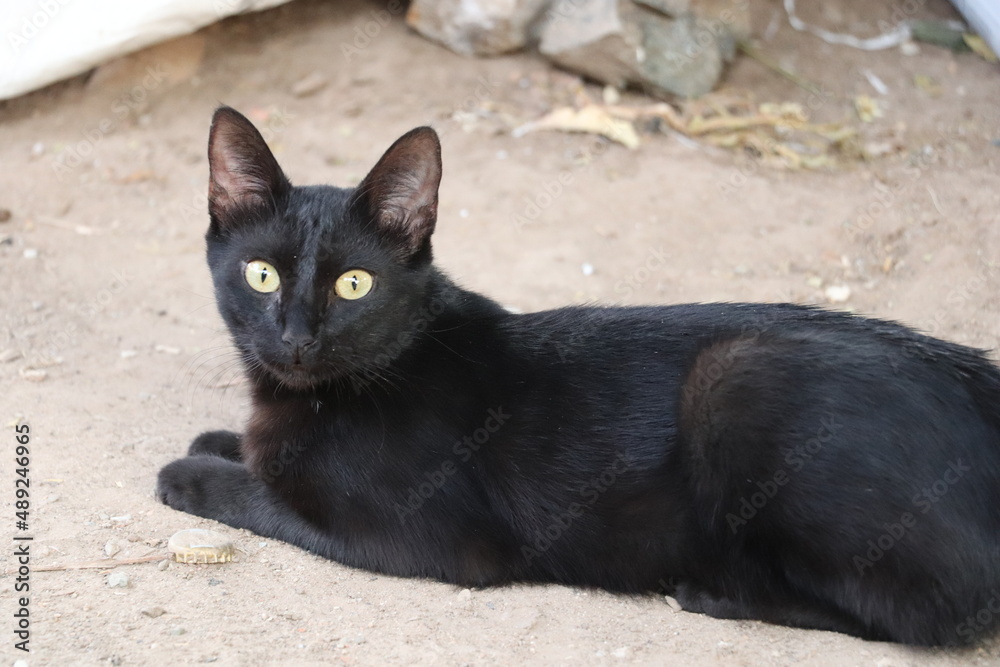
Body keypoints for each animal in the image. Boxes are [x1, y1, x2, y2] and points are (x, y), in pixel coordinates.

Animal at [156, 108, 1000, 648]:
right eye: (261, 274)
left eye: (354, 285)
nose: (296, 337)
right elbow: (250, 451)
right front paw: (223, 439)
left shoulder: (423, 537)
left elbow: (267, 496)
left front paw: (193, 472)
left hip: (737, 373)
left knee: (925, 612)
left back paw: (717, 589)